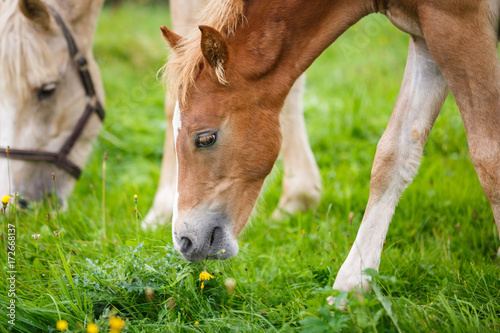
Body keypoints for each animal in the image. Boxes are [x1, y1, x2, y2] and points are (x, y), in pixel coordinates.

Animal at [160, 0, 500, 292]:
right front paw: (352, 286)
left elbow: (489, 160)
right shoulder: (427, 35)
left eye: (206, 138)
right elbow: (392, 155)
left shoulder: (456, 26)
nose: (184, 240)